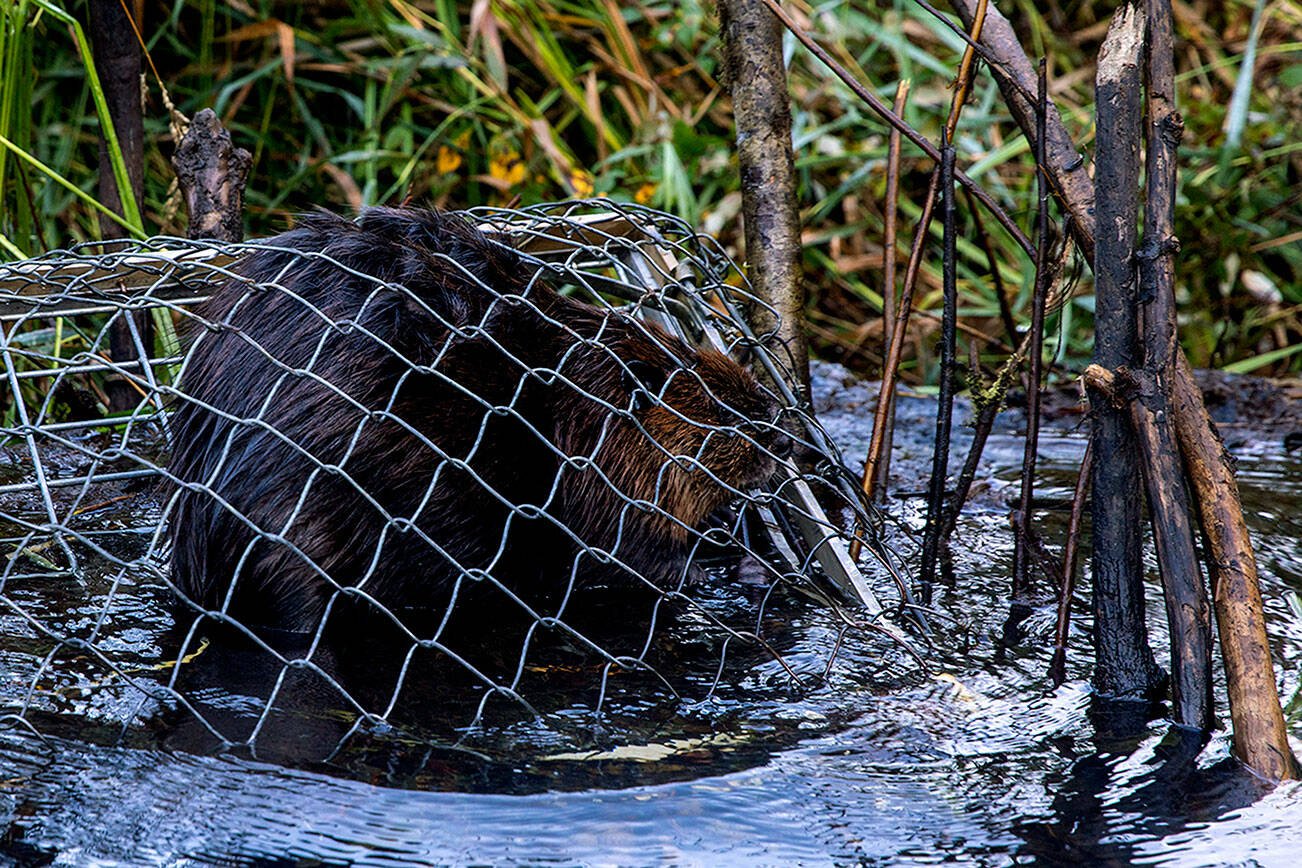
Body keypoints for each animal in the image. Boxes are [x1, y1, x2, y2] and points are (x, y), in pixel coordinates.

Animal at [166, 206, 786, 635]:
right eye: (720, 408)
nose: (776, 425)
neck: (567, 402)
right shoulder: (592, 495)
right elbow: (626, 557)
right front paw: (716, 565)